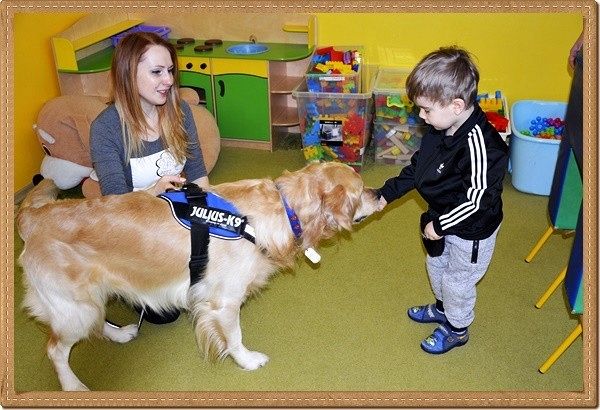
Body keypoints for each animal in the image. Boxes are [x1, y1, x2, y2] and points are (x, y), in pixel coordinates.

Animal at [16, 161, 380, 391]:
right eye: (361, 189)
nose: (378, 193)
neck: (278, 210)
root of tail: (34, 215)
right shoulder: (223, 301)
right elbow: (234, 337)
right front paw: (247, 361)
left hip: (90, 297)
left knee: (95, 322)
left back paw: (120, 334)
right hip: (74, 306)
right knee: (56, 349)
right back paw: (72, 385)